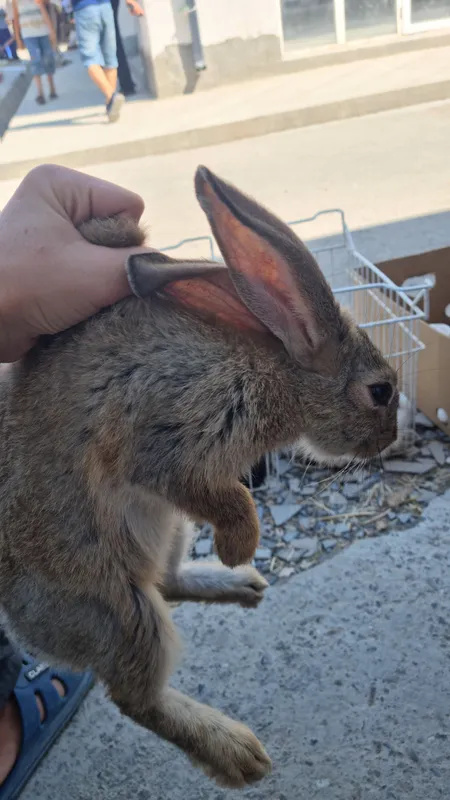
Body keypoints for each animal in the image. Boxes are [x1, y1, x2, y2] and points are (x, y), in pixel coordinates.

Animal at [0, 166, 399, 788]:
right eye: (380, 392)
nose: (392, 437)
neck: (280, 372)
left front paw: (239, 561)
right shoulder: (171, 439)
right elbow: (229, 497)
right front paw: (240, 546)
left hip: (169, 533)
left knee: (166, 582)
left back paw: (240, 586)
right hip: (120, 608)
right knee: (138, 697)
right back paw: (238, 753)